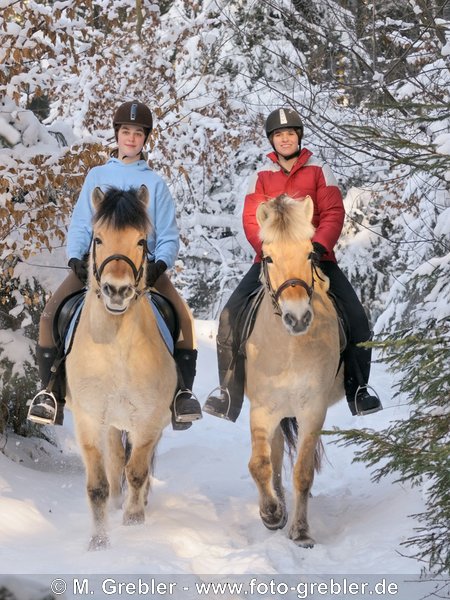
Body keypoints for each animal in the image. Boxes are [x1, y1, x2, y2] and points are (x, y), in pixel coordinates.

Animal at [65, 185, 178, 552]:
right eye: (98, 238)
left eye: (141, 241)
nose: (117, 290)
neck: (115, 347)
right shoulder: (89, 419)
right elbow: (98, 484)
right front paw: (99, 541)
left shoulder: (148, 419)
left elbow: (138, 472)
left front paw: (134, 523)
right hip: (112, 422)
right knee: (115, 462)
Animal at [244, 193, 342, 548]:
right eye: (269, 258)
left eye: (310, 253)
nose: (297, 317)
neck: (288, 348)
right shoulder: (262, 409)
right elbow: (260, 465)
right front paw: (272, 514)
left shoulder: (312, 411)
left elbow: (302, 472)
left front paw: (300, 531)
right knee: (272, 459)